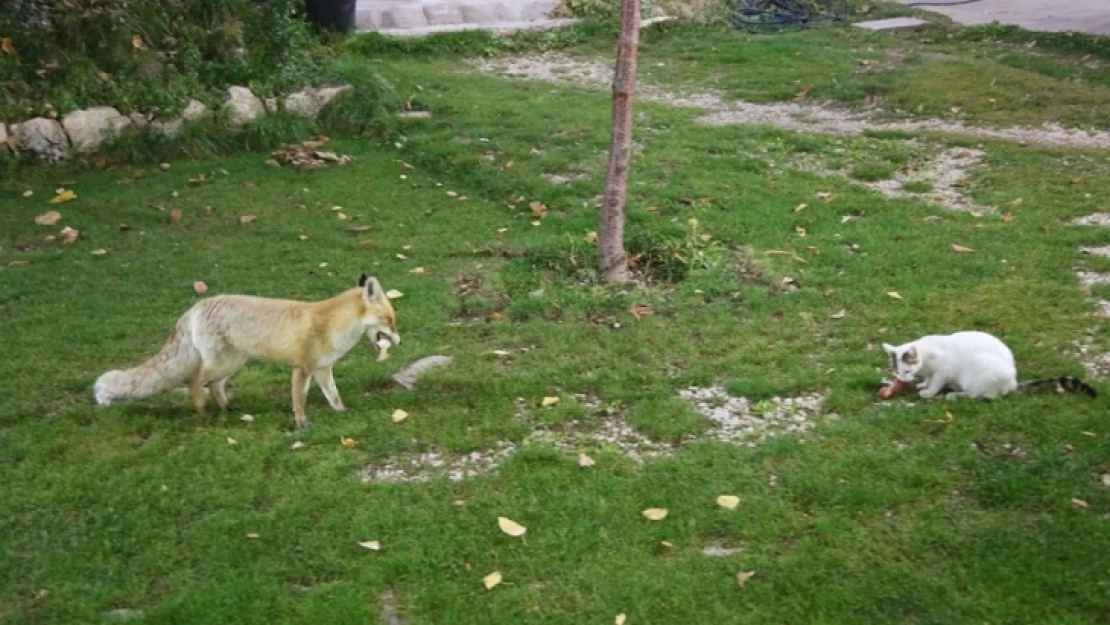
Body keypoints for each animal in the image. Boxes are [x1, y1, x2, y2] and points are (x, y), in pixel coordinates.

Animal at [94, 275, 399, 430]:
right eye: (389, 320)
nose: (399, 341)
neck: (331, 326)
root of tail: (194, 308)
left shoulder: (322, 369)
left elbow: (334, 396)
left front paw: (342, 412)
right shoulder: (301, 368)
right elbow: (299, 401)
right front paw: (301, 424)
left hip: (233, 363)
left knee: (215, 386)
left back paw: (227, 408)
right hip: (219, 363)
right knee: (193, 381)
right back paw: (203, 413)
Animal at [883, 333, 1092, 401]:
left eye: (907, 370)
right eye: (896, 371)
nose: (901, 379)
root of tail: (1013, 383)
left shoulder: (944, 370)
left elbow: (936, 382)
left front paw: (928, 391)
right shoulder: (930, 371)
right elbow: (929, 378)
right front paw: (923, 384)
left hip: (978, 372)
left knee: (980, 396)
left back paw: (954, 395)